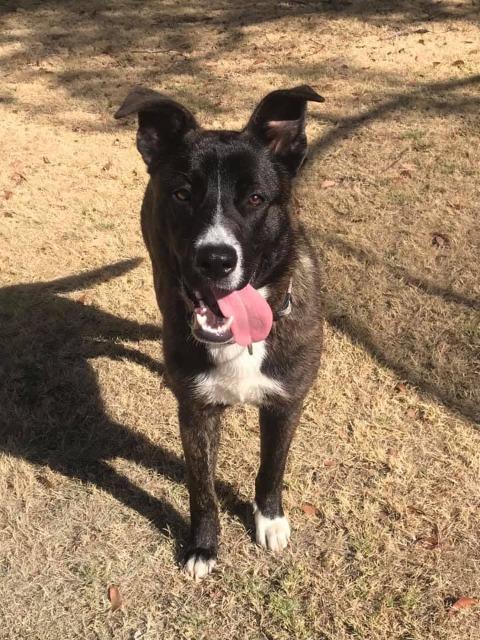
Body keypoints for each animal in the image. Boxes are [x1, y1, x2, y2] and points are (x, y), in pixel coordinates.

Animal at [115, 85, 324, 580]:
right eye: (182, 194)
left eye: (256, 198)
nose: (215, 259)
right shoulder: (197, 414)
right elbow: (201, 490)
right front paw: (204, 546)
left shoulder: (287, 404)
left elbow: (271, 468)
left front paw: (269, 520)